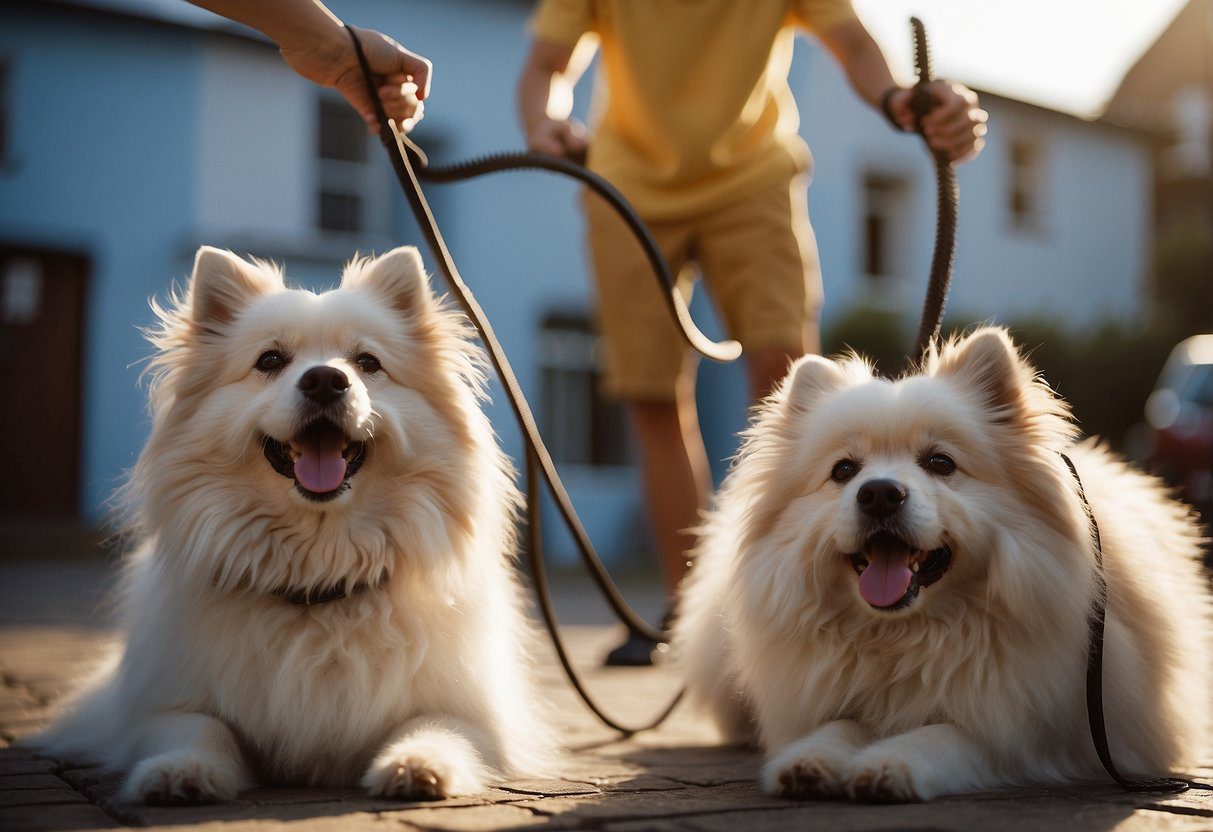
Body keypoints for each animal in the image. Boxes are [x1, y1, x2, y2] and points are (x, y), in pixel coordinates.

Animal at [34, 247, 555, 810]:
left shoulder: (470, 712)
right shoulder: (162, 706)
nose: (326, 379)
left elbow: (436, 727)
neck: (318, 576)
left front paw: (418, 765)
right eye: (269, 361)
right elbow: (199, 727)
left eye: (367, 363)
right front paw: (181, 771)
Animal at [679, 329, 1208, 805]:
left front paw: (890, 763)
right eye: (844, 470)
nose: (879, 493)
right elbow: (839, 724)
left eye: (940, 462)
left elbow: (945, 734)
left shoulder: (1028, 731)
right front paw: (809, 760)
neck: (905, 634)